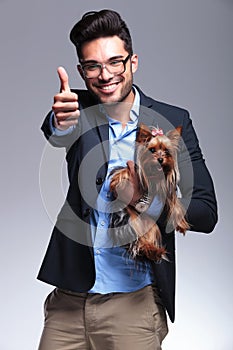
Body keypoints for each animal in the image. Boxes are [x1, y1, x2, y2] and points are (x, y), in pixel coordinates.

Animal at [109, 124, 189, 262]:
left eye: (167, 151)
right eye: (152, 150)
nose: (161, 159)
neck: (155, 176)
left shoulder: (168, 189)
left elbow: (175, 203)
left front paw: (181, 223)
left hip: (149, 223)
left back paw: (155, 251)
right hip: (130, 218)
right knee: (137, 237)